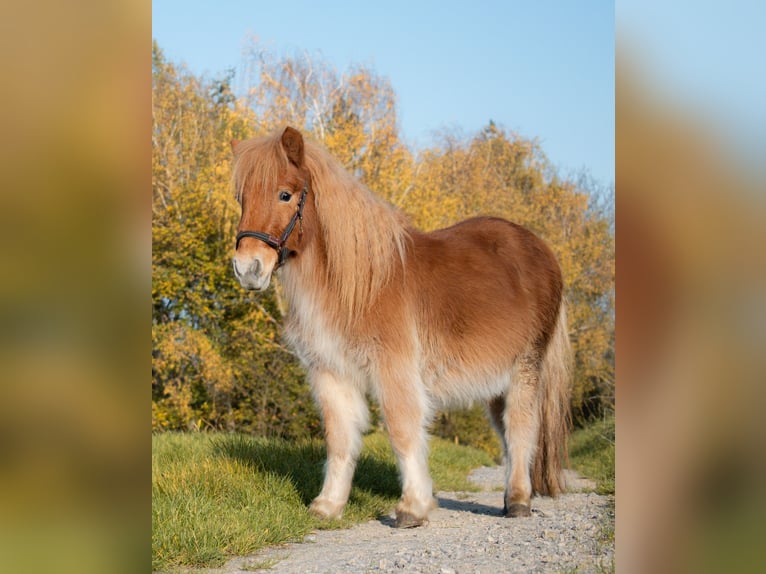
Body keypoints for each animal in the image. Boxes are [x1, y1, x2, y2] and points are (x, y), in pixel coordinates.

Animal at [231, 127, 572, 532]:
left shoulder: (393, 367)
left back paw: (519, 500)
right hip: (496, 380)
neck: (360, 284)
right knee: (505, 432)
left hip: (525, 368)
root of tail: (543, 251)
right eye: (241, 198)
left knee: (521, 427)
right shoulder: (331, 372)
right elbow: (339, 437)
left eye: (285, 194)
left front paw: (413, 507)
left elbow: (402, 429)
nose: (247, 269)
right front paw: (328, 505)